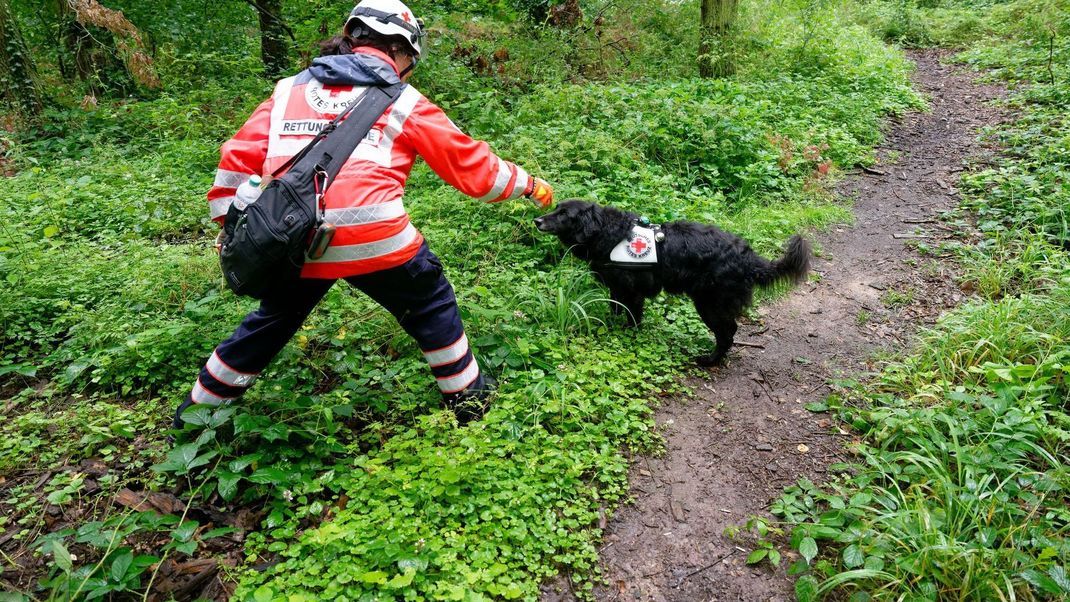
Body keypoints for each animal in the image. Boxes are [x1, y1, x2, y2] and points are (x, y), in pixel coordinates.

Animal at [535, 199, 808, 365]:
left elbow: (632, 319)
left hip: (709, 304)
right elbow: (615, 309)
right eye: (555, 208)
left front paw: (629, 337)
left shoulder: (633, 292)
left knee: (728, 332)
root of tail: (749, 257)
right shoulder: (616, 288)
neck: (607, 234)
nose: (537, 221)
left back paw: (710, 360)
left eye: (564, 214)